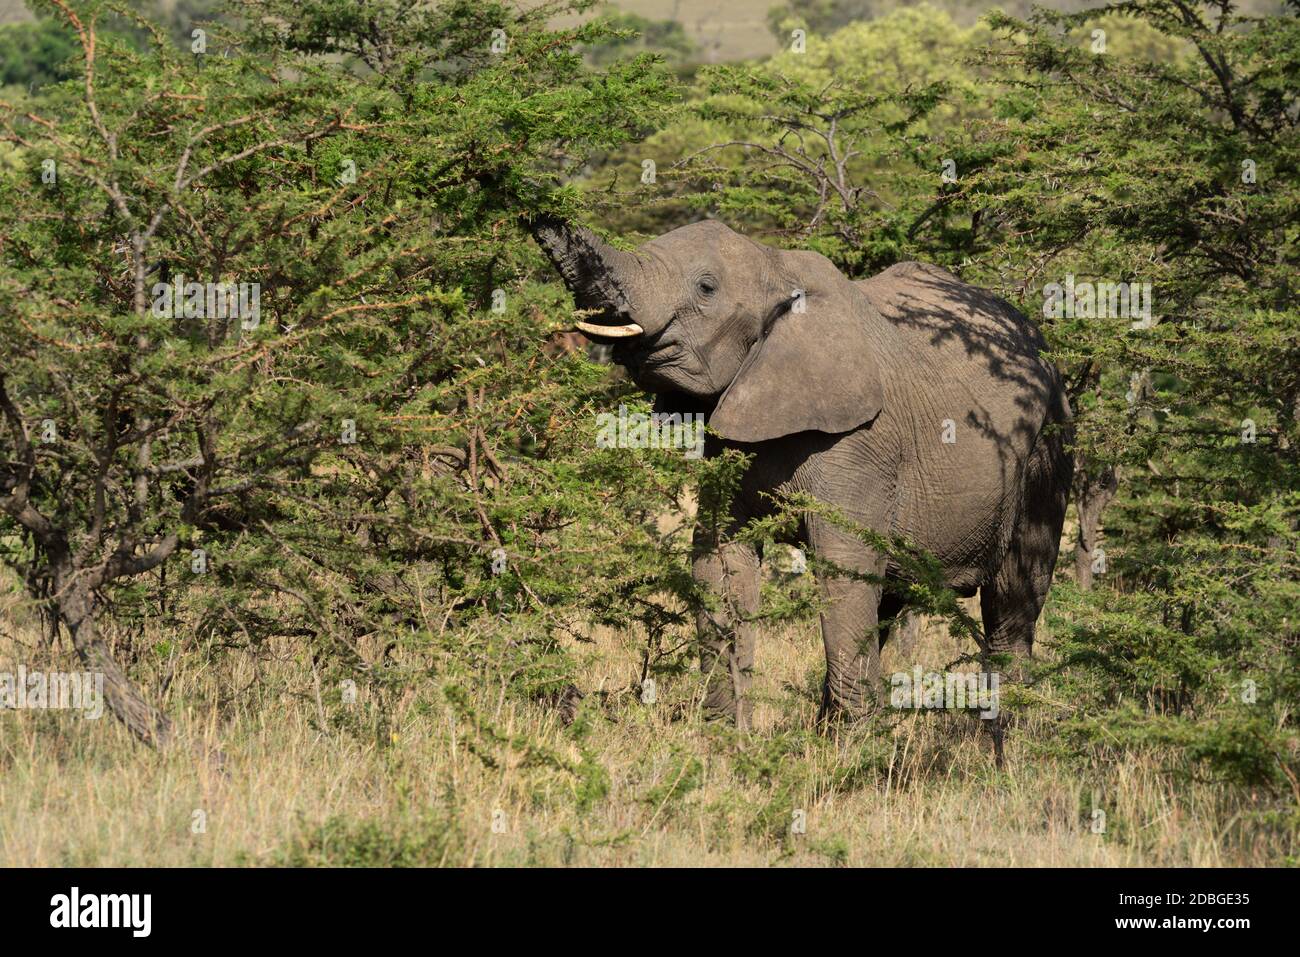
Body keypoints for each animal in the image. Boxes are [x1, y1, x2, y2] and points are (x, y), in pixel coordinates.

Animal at [530, 214, 1073, 728]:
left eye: (706, 288)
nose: (531, 205)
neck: (777, 264)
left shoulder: (860, 441)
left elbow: (844, 568)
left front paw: (855, 753)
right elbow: (718, 562)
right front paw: (727, 739)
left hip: (1048, 443)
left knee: (1012, 600)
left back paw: (1001, 738)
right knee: (891, 599)